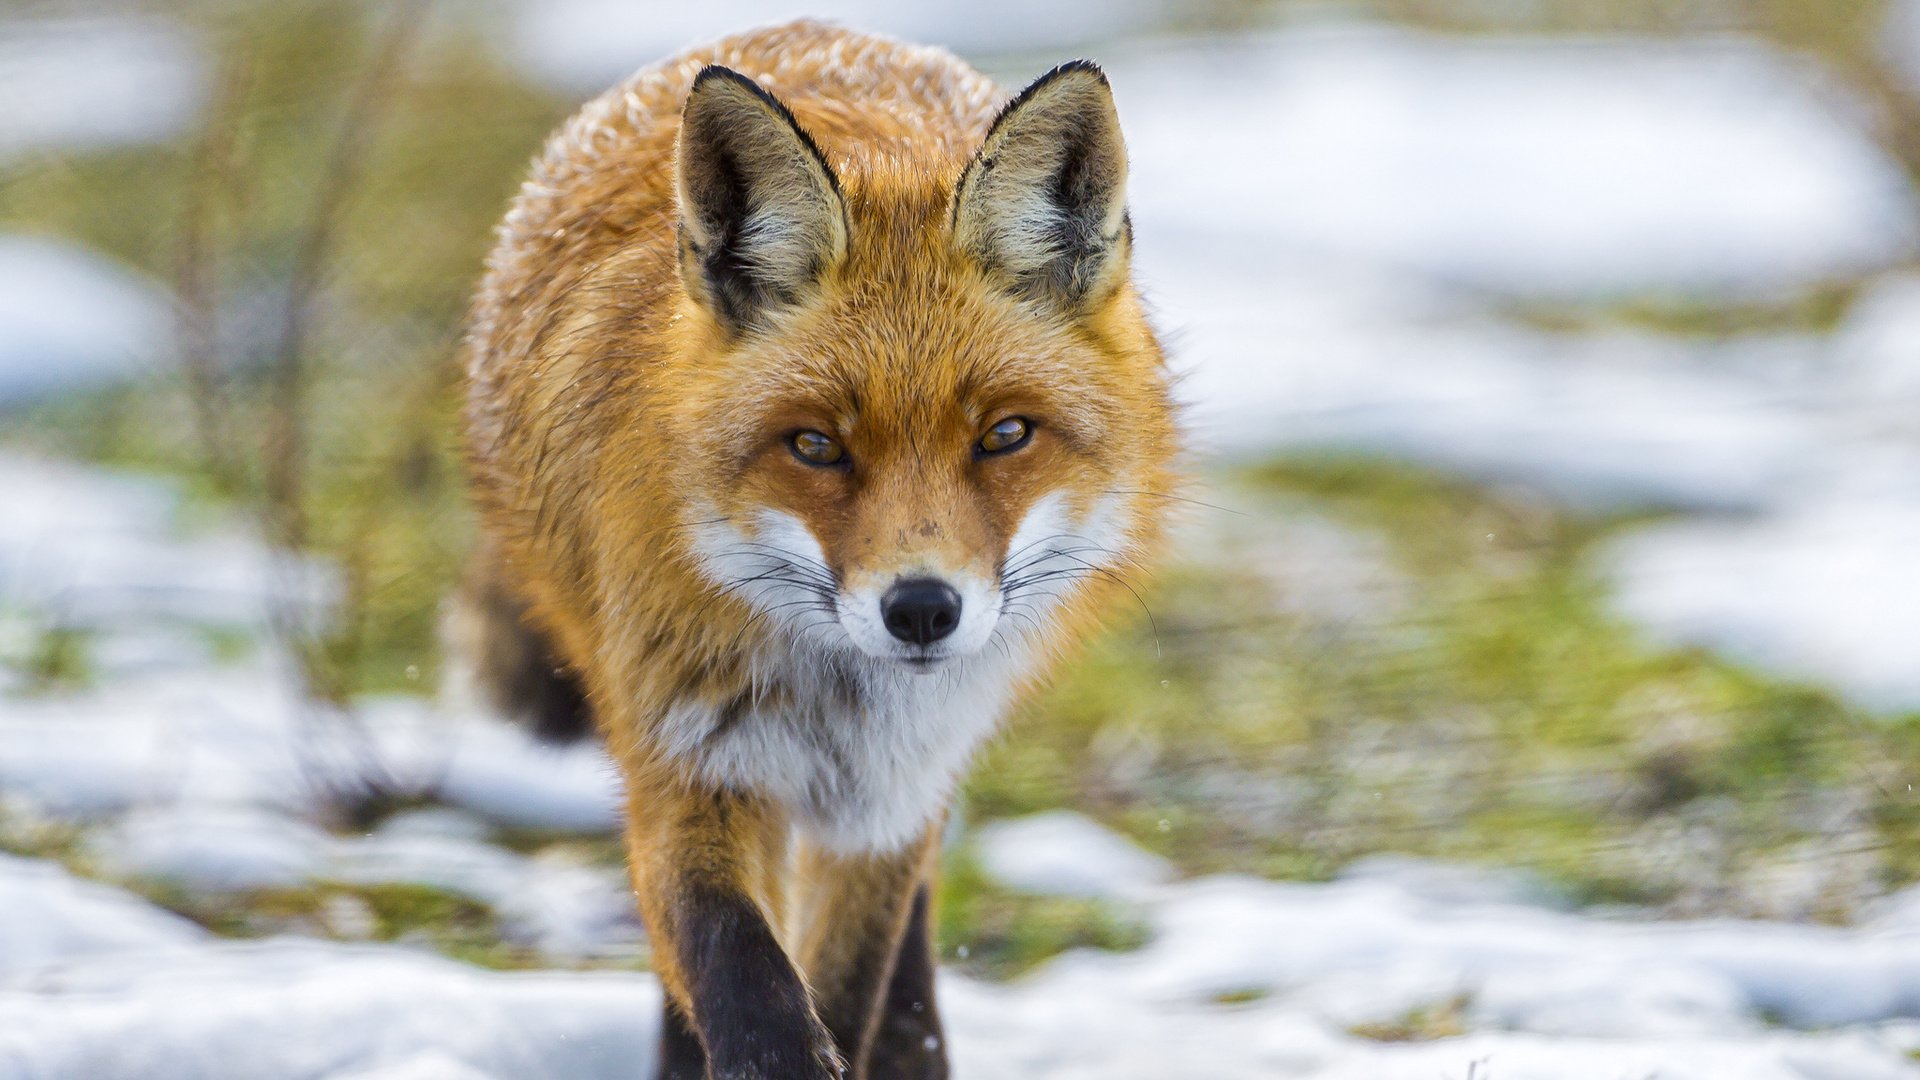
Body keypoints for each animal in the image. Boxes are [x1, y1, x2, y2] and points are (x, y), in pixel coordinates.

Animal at [460, 18, 1182, 1076]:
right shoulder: (684, 764)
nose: (921, 609)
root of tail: (808, 29)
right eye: (814, 446)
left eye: (1005, 435)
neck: (836, 702)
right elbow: (739, 973)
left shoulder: (889, 805)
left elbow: (849, 989)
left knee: (910, 982)